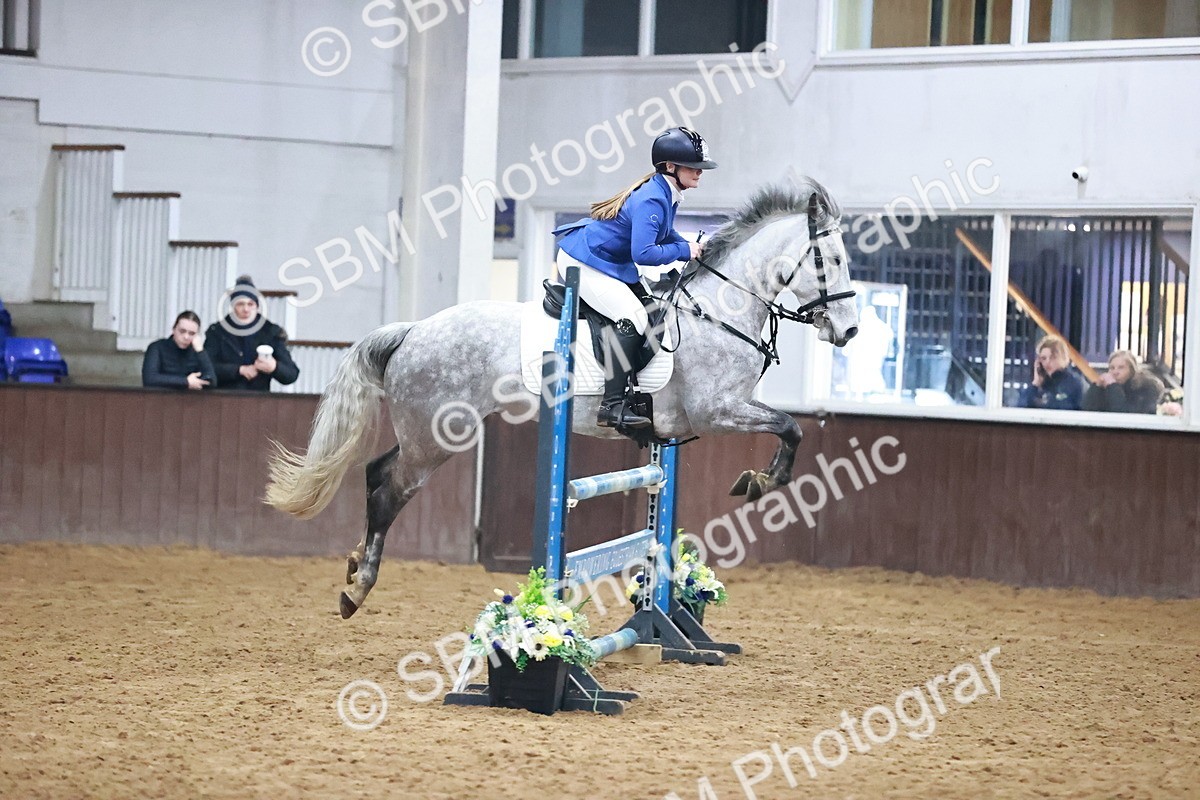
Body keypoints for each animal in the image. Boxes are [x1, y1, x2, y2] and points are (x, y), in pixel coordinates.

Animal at [265, 180, 860, 618]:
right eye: (828, 260)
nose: (849, 332)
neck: (719, 311)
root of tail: (413, 330)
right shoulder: (718, 411)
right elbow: (792, 427)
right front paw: (757, 482)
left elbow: (787, 429)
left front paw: (755, 481)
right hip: (435, 436)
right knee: (389, 490)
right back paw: (356, 589)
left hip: (428, 433)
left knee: (375, 473)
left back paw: (353, 570)